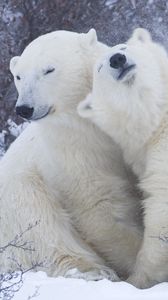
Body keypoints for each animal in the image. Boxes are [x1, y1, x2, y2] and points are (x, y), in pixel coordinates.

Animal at [0, 29, 142, 280]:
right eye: (19, 76)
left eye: (49, 69)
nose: (24, 108)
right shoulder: (72, 149)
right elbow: (99, 204)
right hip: (19, 194)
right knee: (42, 228)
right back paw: (93, 271)